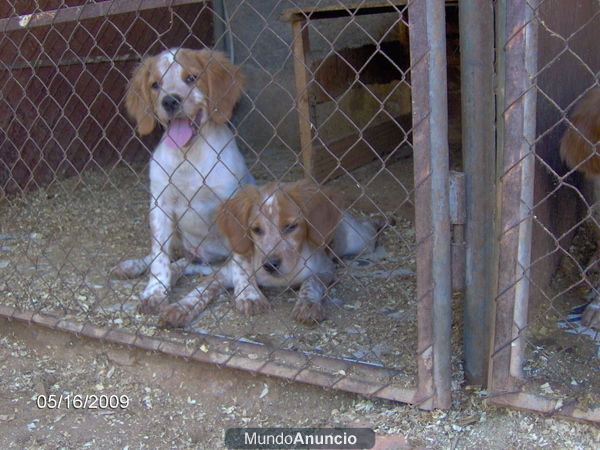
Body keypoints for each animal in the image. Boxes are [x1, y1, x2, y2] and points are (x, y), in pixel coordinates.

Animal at [110, 46, 253, 312]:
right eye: (155, 84)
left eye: (191, 78)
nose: (169, 101)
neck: (188, 155)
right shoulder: (160, 206)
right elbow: (159, 255)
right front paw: (155, 291)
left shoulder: (232, 205)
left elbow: (240, 260)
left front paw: (248, 293)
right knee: (169, 255)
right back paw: (132, 266)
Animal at [161, 180, 384, 326]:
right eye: (256, 229)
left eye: (291, 226)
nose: (270, 264)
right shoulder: (225, 271)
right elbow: (203, 288)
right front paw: (181, 307)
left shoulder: (325, 270)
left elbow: (310, 282)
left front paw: (307, 305)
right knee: (192, 262)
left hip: (356, 240)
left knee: (368, 231)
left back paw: (378, 222)